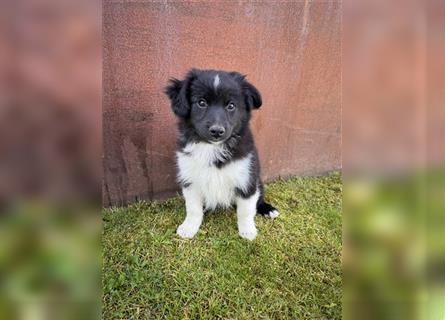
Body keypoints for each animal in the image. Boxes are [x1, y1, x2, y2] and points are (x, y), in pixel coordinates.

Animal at [165, 69, 278, 240]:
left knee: (259, 199)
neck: (212, 148)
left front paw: (247, 231)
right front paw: (189, 227)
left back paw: (268, 209)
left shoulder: (247, 179)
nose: (217, 131)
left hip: (258, 181)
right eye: (201, 103)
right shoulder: (190, 178)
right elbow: (193, 208)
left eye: (231, 106)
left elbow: (246, 210)